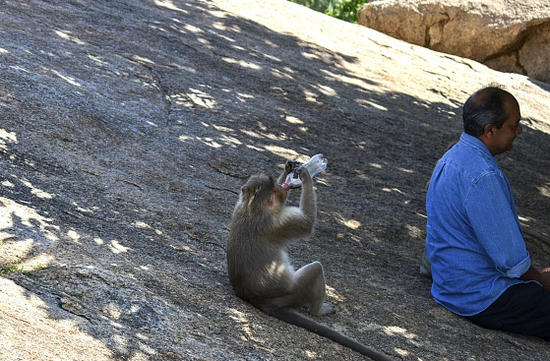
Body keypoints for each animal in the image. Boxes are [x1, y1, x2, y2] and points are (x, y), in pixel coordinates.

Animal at [227, 161, 396, 360]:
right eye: (277, 190)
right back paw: (319, 310)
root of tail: (260, 300)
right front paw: (306, 174)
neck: (252, 207)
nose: (284, 188)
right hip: (295, 292)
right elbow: (307, 223)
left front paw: (289, 169)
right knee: (315, 270)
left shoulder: (238, 206)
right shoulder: (282, 221)